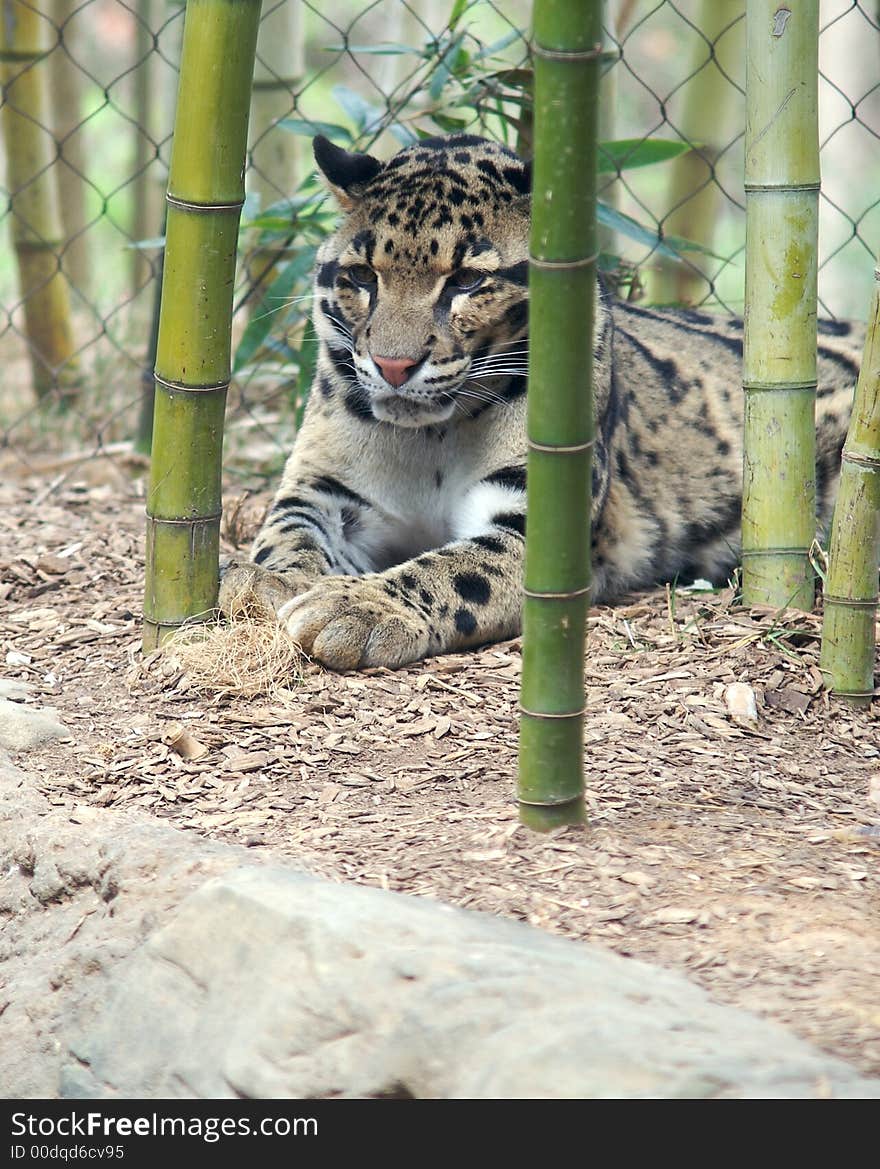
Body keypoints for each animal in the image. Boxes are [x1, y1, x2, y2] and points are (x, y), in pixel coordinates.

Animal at [219, 131, 860, 668]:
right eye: (361, 276)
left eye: (466, 281)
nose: (393, 365)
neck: (430, 439)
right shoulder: (323, 486)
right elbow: (290, 530)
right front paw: (267, 579)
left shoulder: (537, 521)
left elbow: (457, 566)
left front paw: (358, 607)